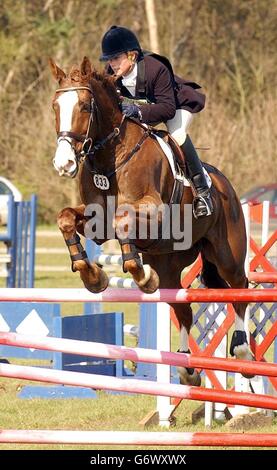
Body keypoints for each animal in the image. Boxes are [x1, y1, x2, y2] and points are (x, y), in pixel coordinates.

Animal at [49, 57, 252, 384]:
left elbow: (122, 220)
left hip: (227, 255)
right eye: (55, 106)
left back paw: (244, 352)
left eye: (84, 106)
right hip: (170, 264)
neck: (111, 157)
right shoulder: (96, 223)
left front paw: (140, 275)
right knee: (183, 308)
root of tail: (226, 185)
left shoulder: (151, 210)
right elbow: (66, 217)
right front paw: (93, 276)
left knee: (240, 290)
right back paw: (186, 368)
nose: (63, 164)